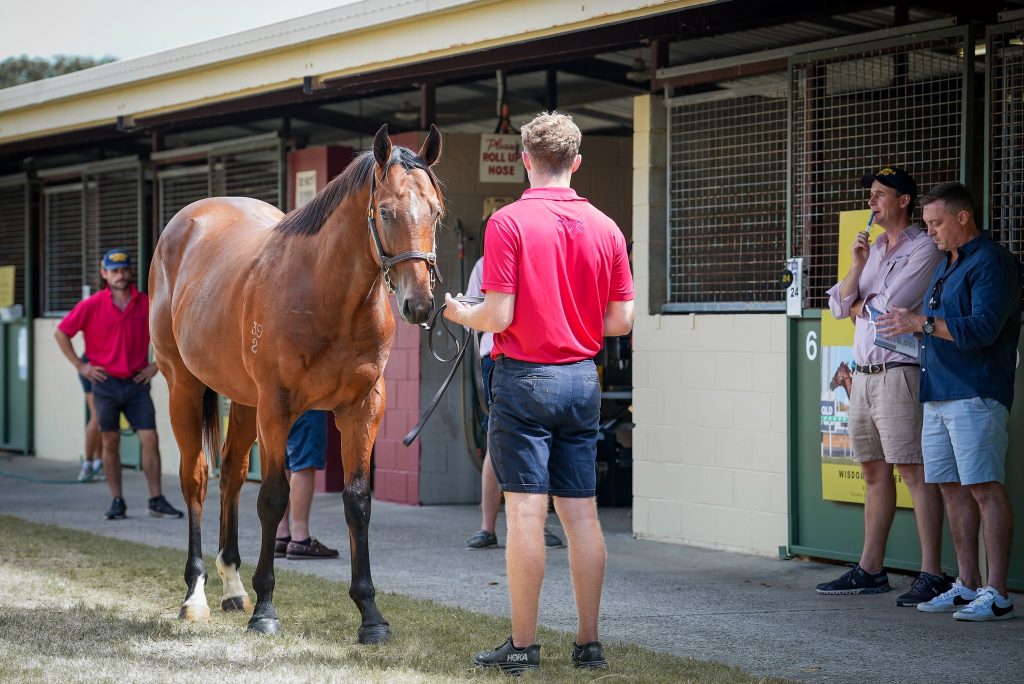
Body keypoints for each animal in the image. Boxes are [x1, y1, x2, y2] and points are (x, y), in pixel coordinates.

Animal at [149, 124, 444, 643]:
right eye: (386, 212)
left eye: (436, 213)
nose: (420, 304)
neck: (329, 295)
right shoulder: (278, 409)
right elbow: (274, 498)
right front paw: (266, 611)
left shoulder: (363, 408)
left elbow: (357, 502)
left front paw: (371, 616)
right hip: (184, 387)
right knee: (197, 478)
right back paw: (196, 596)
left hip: (244, 401)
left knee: (230, 474)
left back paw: (233, 587)